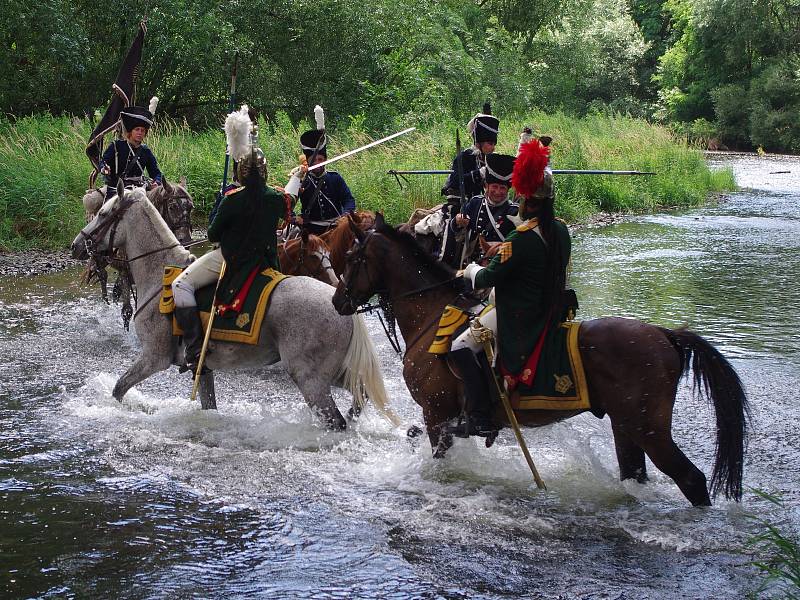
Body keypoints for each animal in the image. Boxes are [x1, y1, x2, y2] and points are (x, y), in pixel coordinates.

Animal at [71, 184, 396, 432]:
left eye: (103, 214)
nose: (76, 245)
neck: (160, 271)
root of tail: (339, 303)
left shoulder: (154, 358)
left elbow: (118, 389)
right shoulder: (202, 370)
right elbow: (208, 405)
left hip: (311, 379)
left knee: (336, 419)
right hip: (335, 372)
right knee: (361, 395)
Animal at [332, 216, 752, 506]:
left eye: (352, 257)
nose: (338, 301)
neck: (431, 315)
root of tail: (665, 334)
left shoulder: (437, 416)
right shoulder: (444, 420)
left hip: (649, 429)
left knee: (692, 480)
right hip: (626, 427)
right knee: (636, 476)